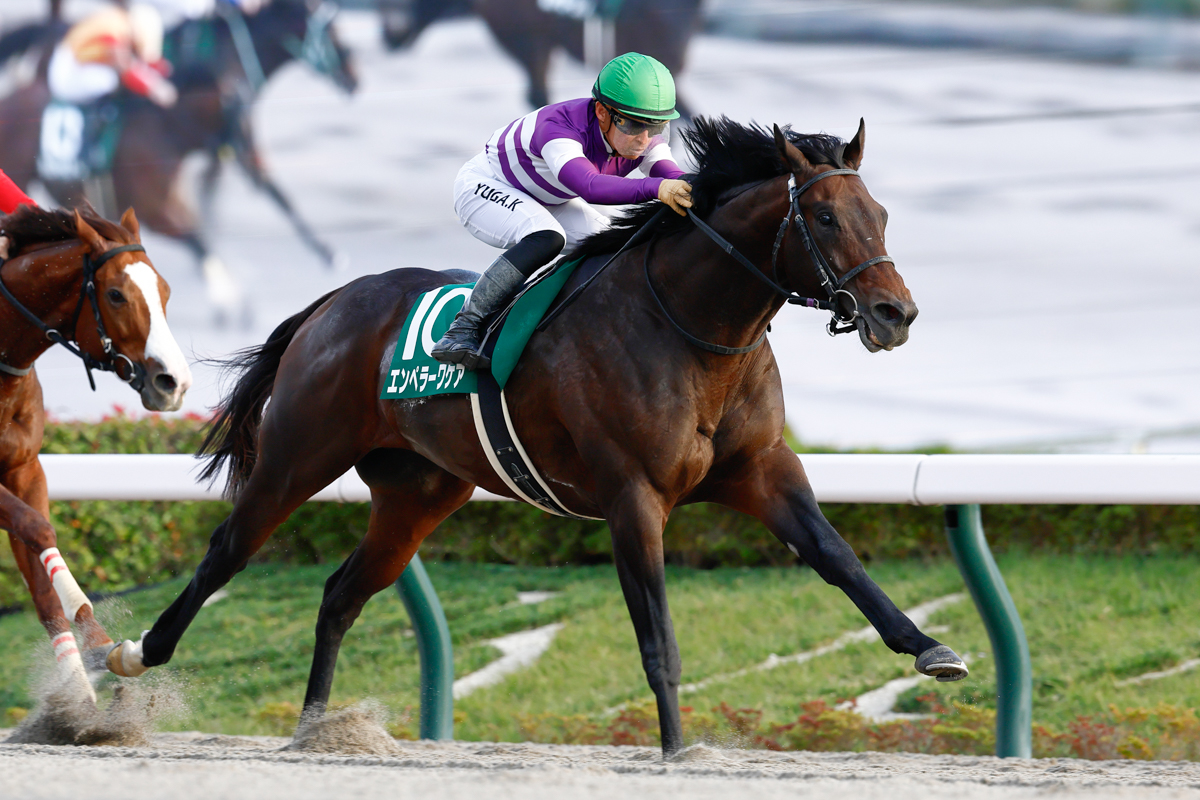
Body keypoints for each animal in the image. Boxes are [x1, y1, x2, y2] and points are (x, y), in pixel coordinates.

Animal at [0, 205, 189, 705]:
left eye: (165, 290)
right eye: (116, 294)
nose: (174, 383)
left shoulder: (24, 469)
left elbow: (39, 574)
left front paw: (91, 662)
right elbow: (38, 528)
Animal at [108, 115, 969, 753]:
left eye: (879, 215)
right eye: (822, 216)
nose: (895, 314)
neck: (692, 327)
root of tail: (334, 301)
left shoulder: (760, 467)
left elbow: (837, 556)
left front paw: (932, 648)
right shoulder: (633, 495)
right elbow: (657, 632)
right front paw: (676, 746)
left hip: (419, 493)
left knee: (341, 593)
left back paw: (315, 729)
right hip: (299, 455)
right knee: (228, 551)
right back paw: (134, 658)